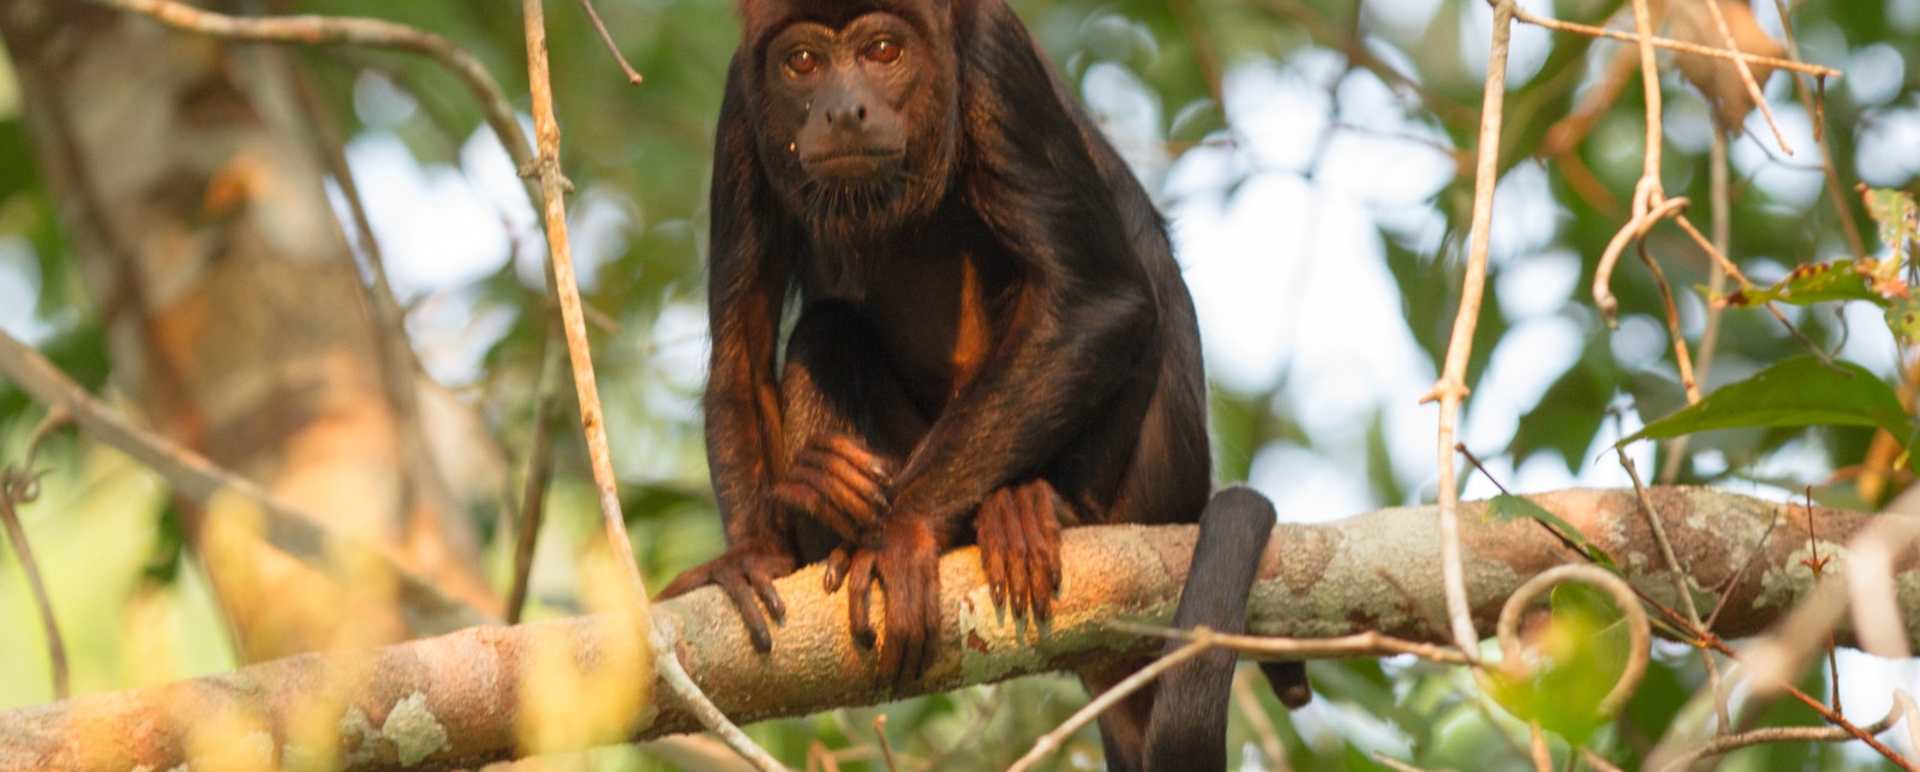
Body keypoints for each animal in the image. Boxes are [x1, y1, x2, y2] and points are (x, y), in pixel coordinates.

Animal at [657, 1, 1310, 767]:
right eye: (803, 63)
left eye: (884, 51)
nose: (843, 111)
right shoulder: (741, 105)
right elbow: (741, 351)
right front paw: (754, 554)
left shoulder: (995, 54)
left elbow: (1102, 301)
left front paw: (899, 534)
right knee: (824, 329)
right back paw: (824, 502)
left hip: (1155, 486)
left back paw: (1039, 509)